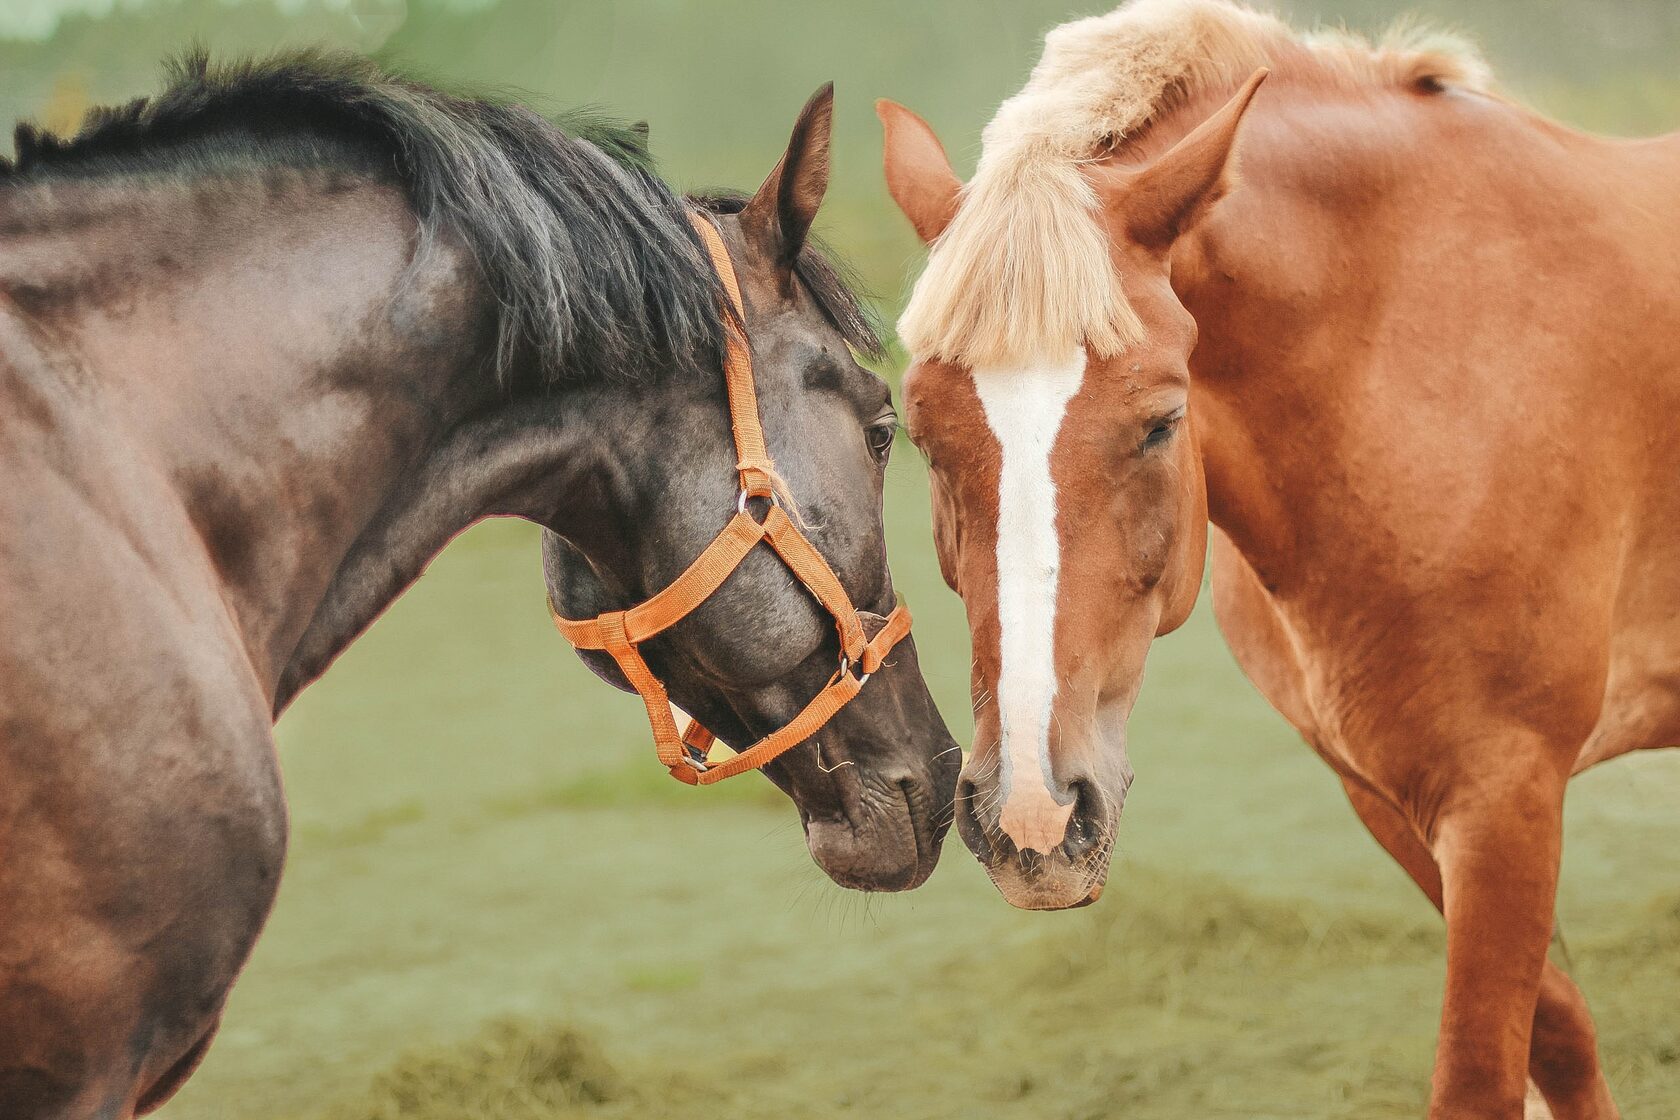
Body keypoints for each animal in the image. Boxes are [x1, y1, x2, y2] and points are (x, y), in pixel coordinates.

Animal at [878, 0, 1677, 1116]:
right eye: (919, 431)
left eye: (1162, 422)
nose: (1032, 817)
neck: (1417, 355)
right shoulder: (1390, 795)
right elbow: (1557, 1034)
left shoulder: (1505, 795)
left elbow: (1480, 1071)